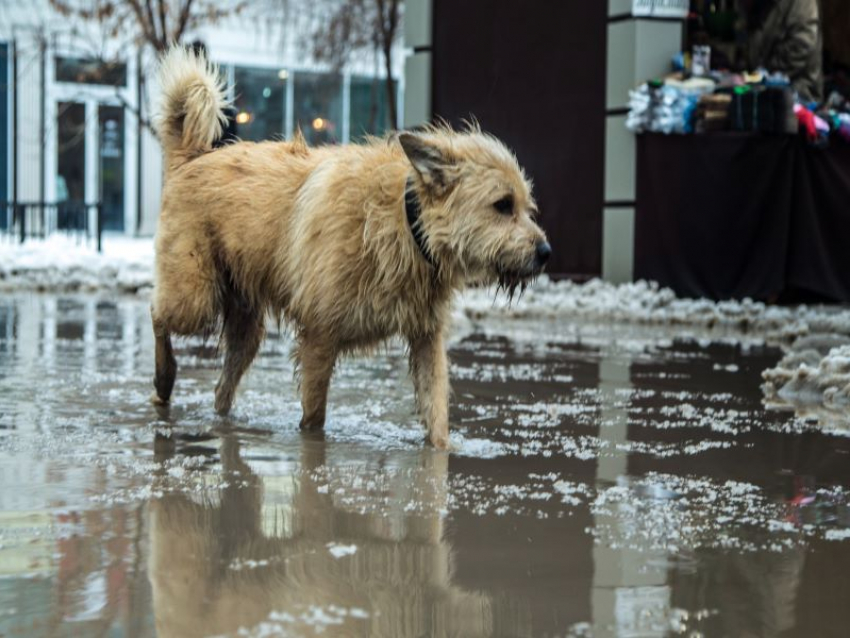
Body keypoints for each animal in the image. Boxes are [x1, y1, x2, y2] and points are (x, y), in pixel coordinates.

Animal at [151, 48, 548, 450]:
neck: (405, 224)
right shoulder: (318, 338)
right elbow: (313, 416)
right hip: (194, 298)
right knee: (158, 314)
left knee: (222, 388)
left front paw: (442, 451)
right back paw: (164, 379)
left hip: (246, 326)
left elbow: (436, 412)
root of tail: (193, 156)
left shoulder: (427, 339)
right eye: (502, 205)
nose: (545, 251)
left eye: (526, 207)